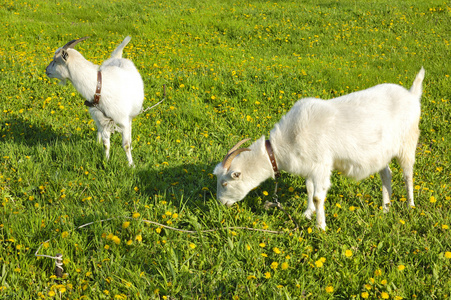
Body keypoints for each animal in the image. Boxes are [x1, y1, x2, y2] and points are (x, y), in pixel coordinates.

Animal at [44, 36, 143, 166]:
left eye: (56, 61)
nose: (46, 70)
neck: (99, 86)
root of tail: (118, 57)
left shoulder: (122, 120)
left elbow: (125, 145)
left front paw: (131, 165)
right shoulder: (102, 119)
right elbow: (106, 144)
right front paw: (106, 161)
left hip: (129, 115)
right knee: (100, 131)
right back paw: (97, 142)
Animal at [214, 68, 426, 230]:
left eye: (225, 183)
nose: (221, 204)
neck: (287, 141)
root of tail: (411, 95)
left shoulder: (322, 165)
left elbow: (317, 196)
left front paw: (320, 226)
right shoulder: (309, 165)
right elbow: (309, 189)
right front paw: (307, 213)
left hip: (408, 142)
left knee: (408, 175)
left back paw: (410, 205)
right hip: (382, 153)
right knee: (386, 174)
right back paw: (385, 208)